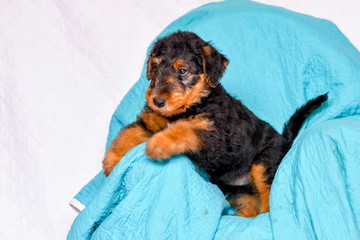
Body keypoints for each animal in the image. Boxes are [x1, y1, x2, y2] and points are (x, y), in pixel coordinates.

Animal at [102, 31, 328, 217]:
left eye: (182, 70)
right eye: (155, 66)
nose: (157, 101)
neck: (192, 106)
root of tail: (284, 140)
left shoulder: (218, 140)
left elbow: (184, 131)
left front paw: (158, 145)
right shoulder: (149, 123)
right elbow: (127, 134)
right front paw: (111, 164)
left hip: (263, 164)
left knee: (266, 198)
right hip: (229, 186)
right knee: (251, 203)